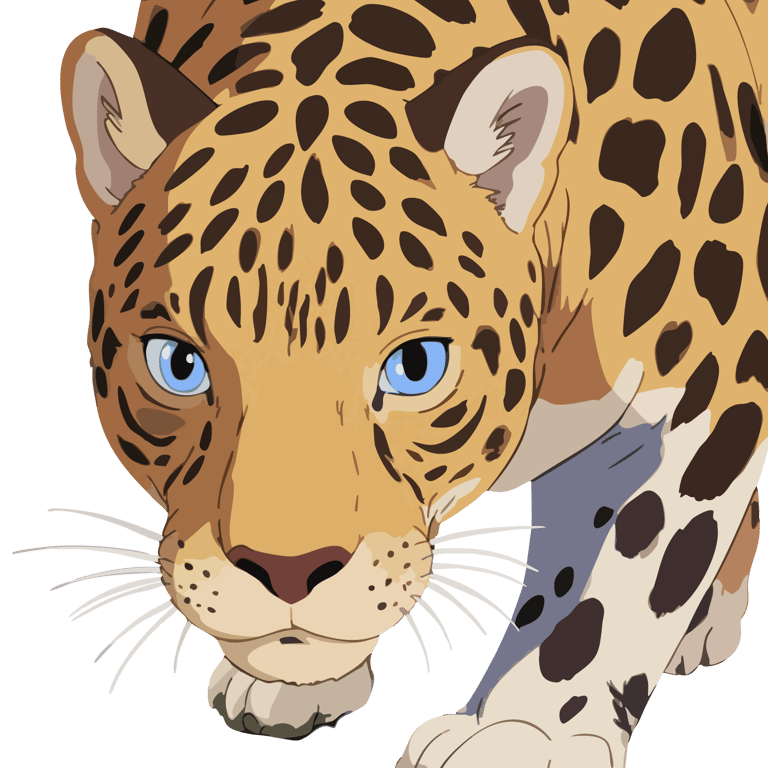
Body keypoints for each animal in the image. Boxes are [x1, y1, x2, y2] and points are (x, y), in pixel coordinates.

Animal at [48, 0, 767, 764]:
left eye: (416, 366)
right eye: (177, 364)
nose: (287, 570)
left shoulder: (701, 389)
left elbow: (618, 570)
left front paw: (523, 730)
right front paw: (293, 684)